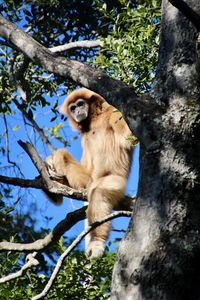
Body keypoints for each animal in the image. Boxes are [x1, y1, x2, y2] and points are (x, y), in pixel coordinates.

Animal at [48, 88, 136, 256]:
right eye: (73, 108)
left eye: (80, 104)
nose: (78, 111)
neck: (94, 119)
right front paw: (50, 161)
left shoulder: (113, 111)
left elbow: (128, 138)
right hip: (87, 181)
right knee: (64, 156)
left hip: (115, 180)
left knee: (99, 192)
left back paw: (96, 242)